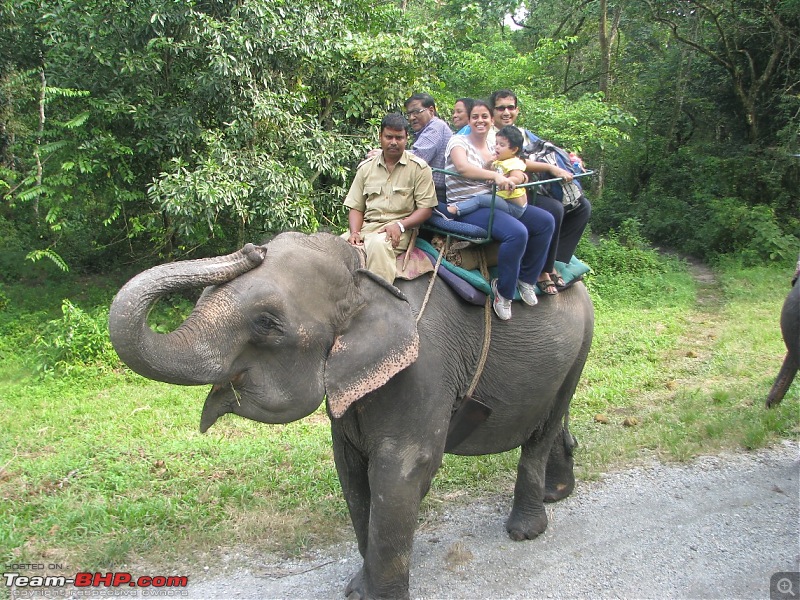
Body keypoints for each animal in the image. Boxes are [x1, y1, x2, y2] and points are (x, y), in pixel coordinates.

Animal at [108, 232, 592, 596]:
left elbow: (400, 470)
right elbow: (351, 471)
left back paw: (526, 529)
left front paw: (377, 595)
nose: (252, 249)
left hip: (581, 341)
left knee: (543, 428)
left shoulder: (424, 367)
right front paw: (359, 588)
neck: (361, 271)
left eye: (265, 323)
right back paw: (558, 492)